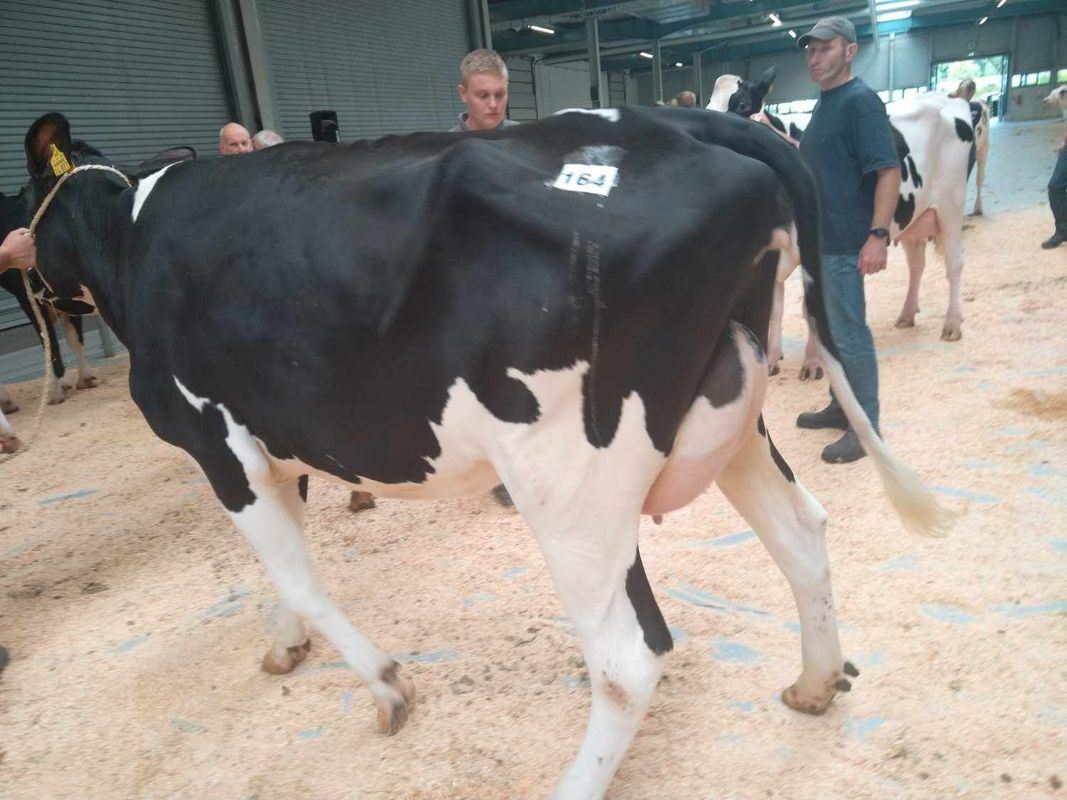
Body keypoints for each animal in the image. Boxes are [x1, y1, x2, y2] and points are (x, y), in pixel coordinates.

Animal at [22, 109, 949, 799]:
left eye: (24, 195)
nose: (22, 268)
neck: (132, 237)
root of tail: (682, 124)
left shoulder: (217, 443)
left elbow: (296, 576)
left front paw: (385, 685)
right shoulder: (271, 440)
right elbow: (281, 570)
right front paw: (285, 647)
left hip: (572, 480)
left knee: (627, 659)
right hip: (733, 414)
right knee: (801, 534)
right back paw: (814, 682)